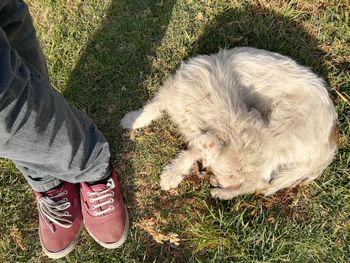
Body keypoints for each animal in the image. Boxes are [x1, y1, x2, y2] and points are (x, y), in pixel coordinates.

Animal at [119, 47, 336, 200]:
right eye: (230, 175)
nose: (228, 183)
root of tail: (332, 138)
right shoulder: (172, 93)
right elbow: (152, 108)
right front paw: (132, 120)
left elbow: (191, 153)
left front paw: (171, 176)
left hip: (276, 138)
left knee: (260, 183)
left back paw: (222, 194)